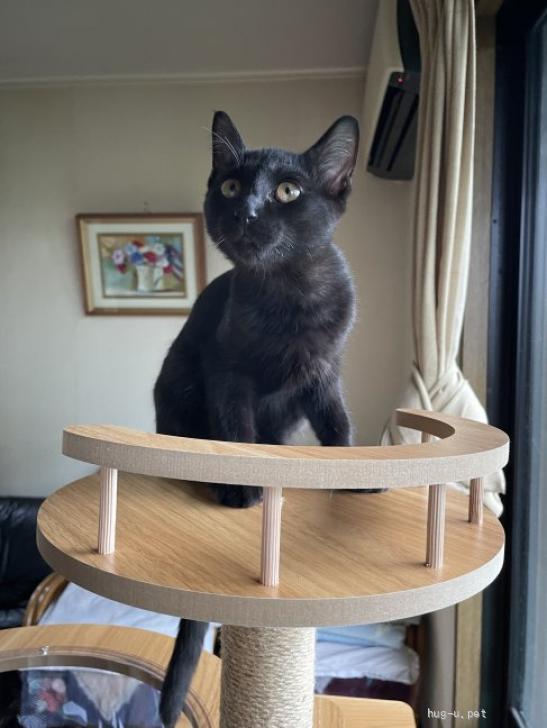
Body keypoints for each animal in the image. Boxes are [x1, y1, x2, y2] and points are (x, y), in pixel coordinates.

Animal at [154, 110, 359, 728]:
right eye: (229, 186)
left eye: (288, 192)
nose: (244, 210)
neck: (288, 292)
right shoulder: (226, 372)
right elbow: (236, 431)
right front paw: (242, 491)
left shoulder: (323, 373)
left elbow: (337, 423)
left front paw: (356, 473)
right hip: (178, 384)